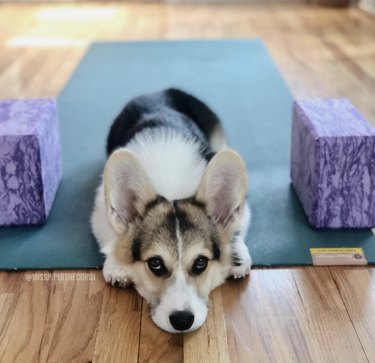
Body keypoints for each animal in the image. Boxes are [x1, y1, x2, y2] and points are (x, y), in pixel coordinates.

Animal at [90, 88, 253, 332]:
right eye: (155, 264)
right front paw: (117, 265)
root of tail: (158, 91)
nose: (182, 321)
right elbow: (110, 235)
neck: (171, 188)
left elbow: (239, 224)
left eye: (201, 263)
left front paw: (238, 256)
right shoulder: (100, 209)